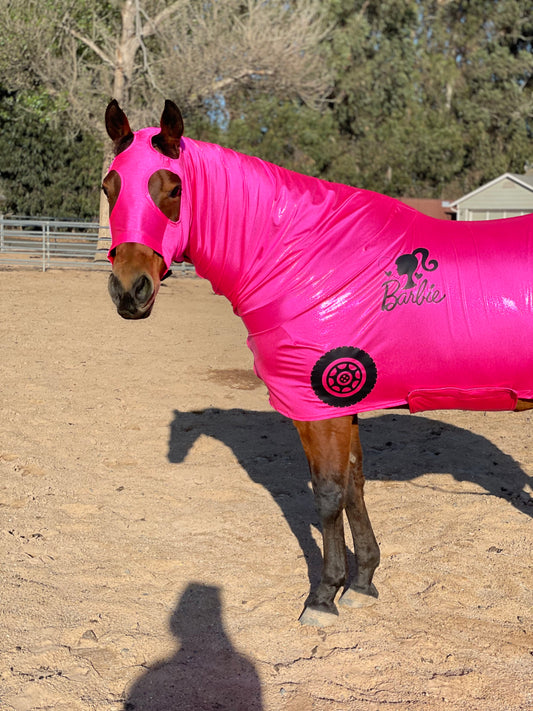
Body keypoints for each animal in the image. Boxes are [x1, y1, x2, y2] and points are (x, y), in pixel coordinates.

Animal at [104, 99, 533, 627]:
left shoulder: (320, 404)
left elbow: (328, 494)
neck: (310, 258)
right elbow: (353, 486)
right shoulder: (342, 407)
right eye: (109, 187)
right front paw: (363, 582)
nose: (129, 290)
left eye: (174, 188)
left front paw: (323, 597)